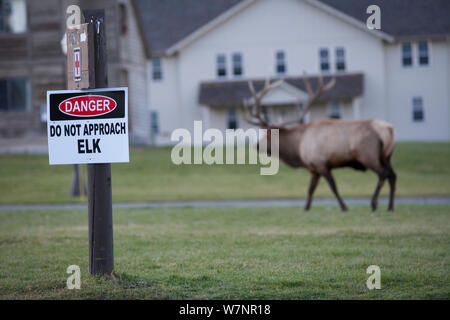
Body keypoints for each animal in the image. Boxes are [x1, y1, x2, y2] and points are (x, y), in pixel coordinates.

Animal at [244, 74, 396, 211]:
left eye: (268, 134)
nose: (256, 145)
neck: (298, 150)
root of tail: (388, 130)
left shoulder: (321, 163)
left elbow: (333, 186)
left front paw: (344, 207)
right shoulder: (313, 169)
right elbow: (310, 189)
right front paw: (306, 208)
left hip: (368, 155)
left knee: (383, 174)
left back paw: (374, 204)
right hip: (386, 157)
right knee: (393, 175)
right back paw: (390, 207)